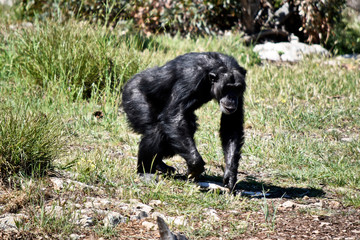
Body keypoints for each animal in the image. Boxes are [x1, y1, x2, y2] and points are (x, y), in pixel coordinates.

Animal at [122, 52, 246, 189]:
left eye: (236, 88)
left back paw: (159, 164)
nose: (231, 98)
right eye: (227, 88)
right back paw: (145, 172)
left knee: (183, 130)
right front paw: (196, 165)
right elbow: (174, 115)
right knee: (155, 130)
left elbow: (232, 124)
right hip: (133, 96)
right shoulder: (191, 77)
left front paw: (230, 173)